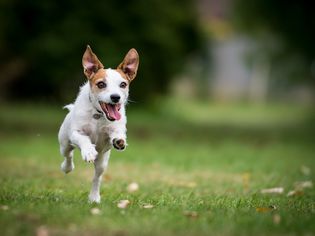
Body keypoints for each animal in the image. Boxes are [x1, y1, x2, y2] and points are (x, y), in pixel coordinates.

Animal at [58, 45, 139, 203]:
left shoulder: (114, 130)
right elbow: (83, 139)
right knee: (68, 155)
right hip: (64, 142)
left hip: (102, 162)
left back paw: (94, 197)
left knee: (97, 178)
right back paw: (67, 167)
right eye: (101, 84)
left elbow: (116, 133)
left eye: (123, 84)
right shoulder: (76, 133)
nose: (115, 97)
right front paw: (88, 151)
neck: (98, 114)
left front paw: (119, 140)